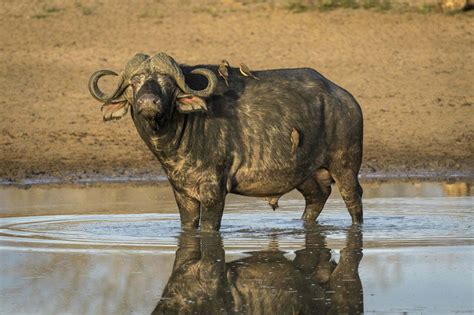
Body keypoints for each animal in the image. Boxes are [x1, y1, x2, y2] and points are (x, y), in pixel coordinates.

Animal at [89, 52, 362, 232]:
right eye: (134, 83)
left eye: (167, 83)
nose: (148, 102)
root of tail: (344, 98)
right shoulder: (182, 194)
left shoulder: (214, 192)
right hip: (303, 173)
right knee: (318, 196)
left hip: (345, 166)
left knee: (353, 198)